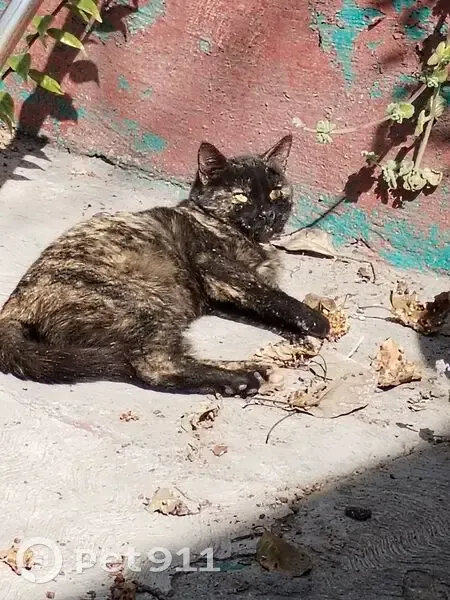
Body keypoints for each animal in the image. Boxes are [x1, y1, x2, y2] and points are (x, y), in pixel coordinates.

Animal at [0, 133, 330, 397]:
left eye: (276, 192)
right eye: (241, 197)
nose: (267, 215)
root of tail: (13, 306)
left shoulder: (217, 298)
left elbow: (261, 308)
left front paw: (298, 333)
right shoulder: (217, 267)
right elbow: (271, 295)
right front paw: (315, 321)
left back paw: (253, 370)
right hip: (145, 305)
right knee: (154, 366)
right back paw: (240, 379)